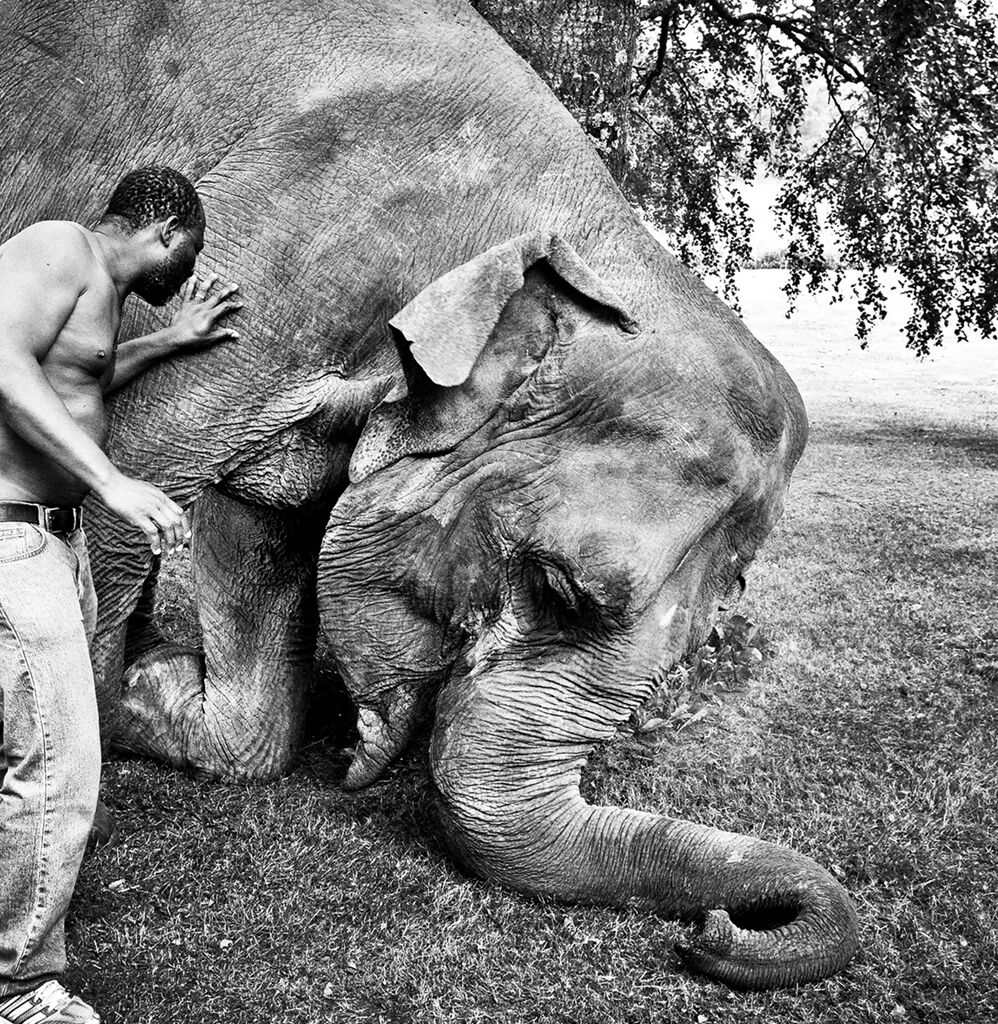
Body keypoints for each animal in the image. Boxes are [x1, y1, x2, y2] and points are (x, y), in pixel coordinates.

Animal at [0, 0, 858, 990]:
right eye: (562, 591)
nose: (713, 930)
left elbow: (266, 533)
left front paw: (160, 692)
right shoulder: (276, 267)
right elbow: (129, 463)